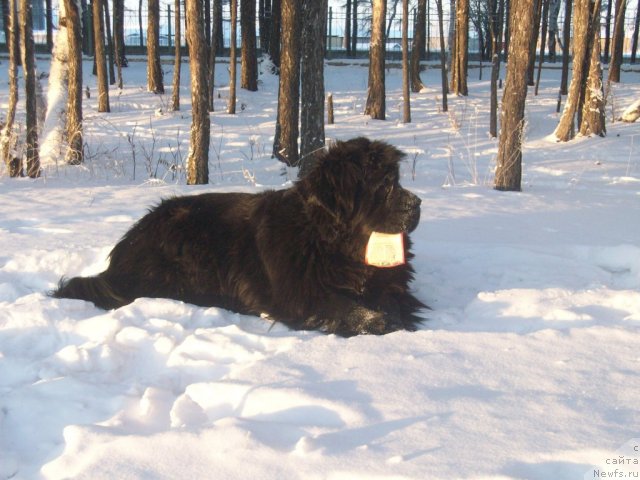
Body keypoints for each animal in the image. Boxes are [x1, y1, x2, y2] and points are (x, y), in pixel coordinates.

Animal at [53, 137, 424, 336]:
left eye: (397, 180)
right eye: (385, 185)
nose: (418, 203)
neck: (327, 240)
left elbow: (390, 296)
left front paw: (393, 315)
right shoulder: (298, 292)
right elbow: (342, 306)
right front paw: (376, 320)